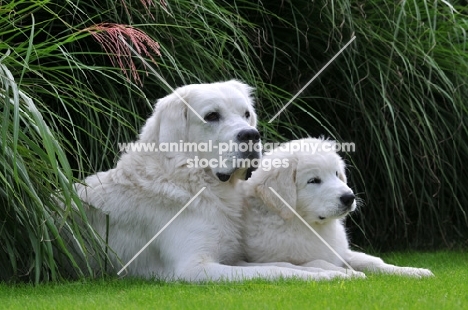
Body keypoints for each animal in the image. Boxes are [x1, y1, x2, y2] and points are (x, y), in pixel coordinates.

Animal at [75, 81, 350, 282]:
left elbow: (284, 264)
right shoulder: (193, 267)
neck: (196, 184)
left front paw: (333, 270)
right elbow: (277, 270)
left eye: (246, 114)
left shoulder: (232, 257)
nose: (252, 135)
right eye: (212, 116)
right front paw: (329, 277)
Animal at [243, 137, 434, 278]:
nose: (349, 198)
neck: (308, 226)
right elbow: (317, 262)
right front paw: (349, 274)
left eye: (336, 174)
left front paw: (413, 271)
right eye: (314, 180)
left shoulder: (341, 252)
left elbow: (372, 261)